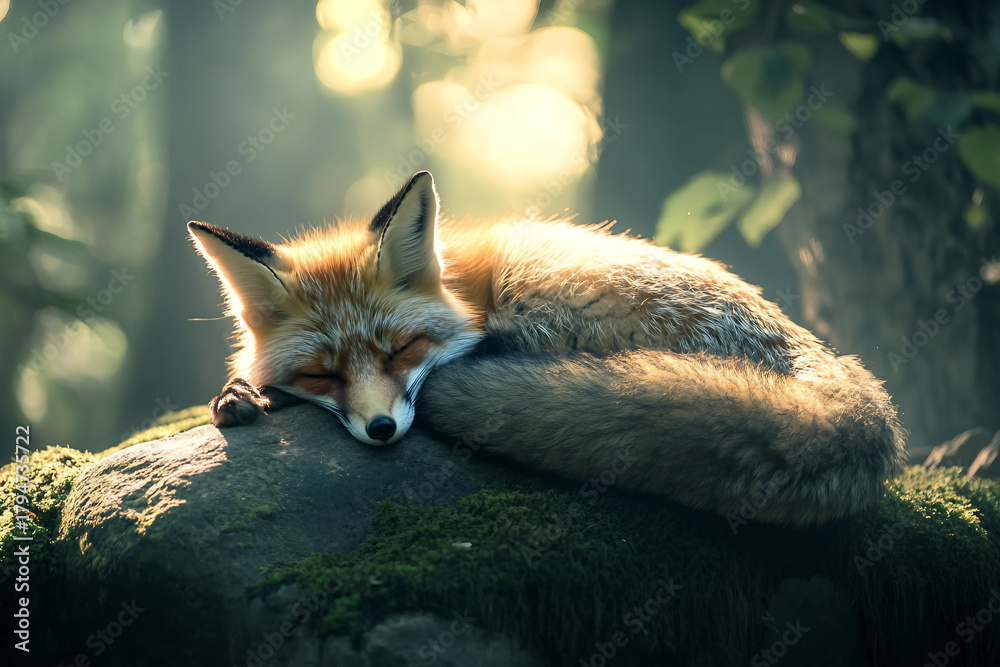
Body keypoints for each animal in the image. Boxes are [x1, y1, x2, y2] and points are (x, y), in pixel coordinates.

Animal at [188, 170, 906, 525]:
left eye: (401, 349)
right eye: (323, 374)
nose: (384, 429)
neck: (457, 283)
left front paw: (254, 395)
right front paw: (241, 391)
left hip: (537, 282)